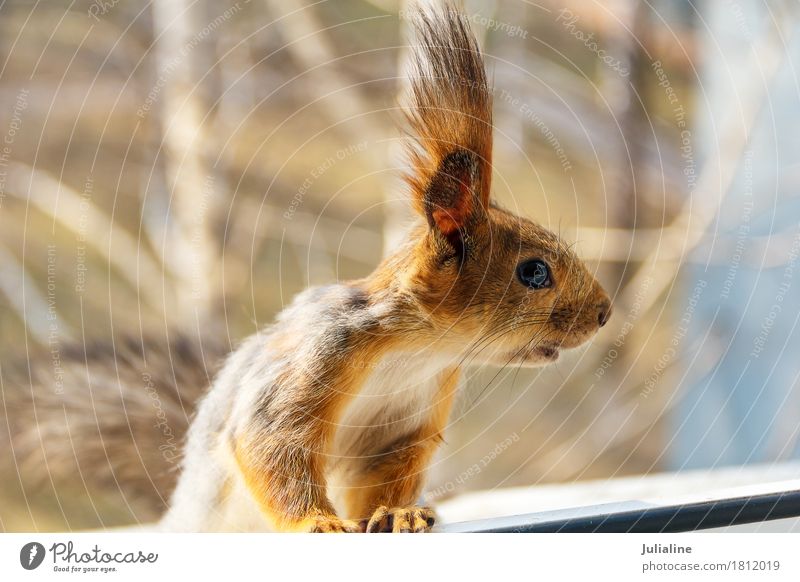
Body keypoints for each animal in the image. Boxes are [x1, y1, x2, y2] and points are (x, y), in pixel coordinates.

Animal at [1, 2, 612, 536]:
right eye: (533, 272)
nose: (605, 313)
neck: (418, 350)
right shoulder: (317, 358)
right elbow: (273, 445)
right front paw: (316, 522)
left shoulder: (407, 424)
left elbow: (383, 479)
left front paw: (401, 513)